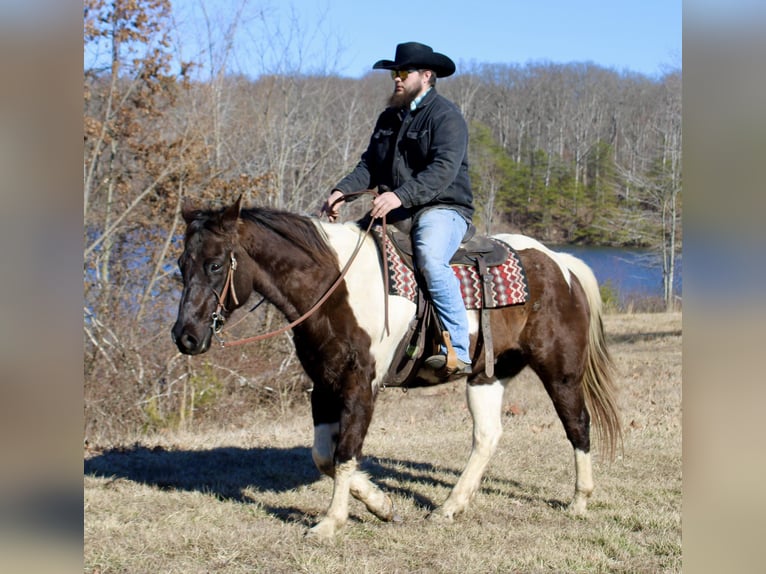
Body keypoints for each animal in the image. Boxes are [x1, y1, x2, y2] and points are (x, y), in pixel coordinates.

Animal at [171, 197, 620, 540]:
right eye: (181, 264)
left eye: (215, 264)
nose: (185, 336)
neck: (335, 287)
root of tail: (561, 263)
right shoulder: (324, 385)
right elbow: (324, 456)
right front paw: (381, 504)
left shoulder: (361, 386)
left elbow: (346, 453)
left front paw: (331, 523)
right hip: (487, 375)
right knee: (488, 436)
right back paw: (450, 507)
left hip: (560, 372)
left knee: (577, 425)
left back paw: (579, 500)